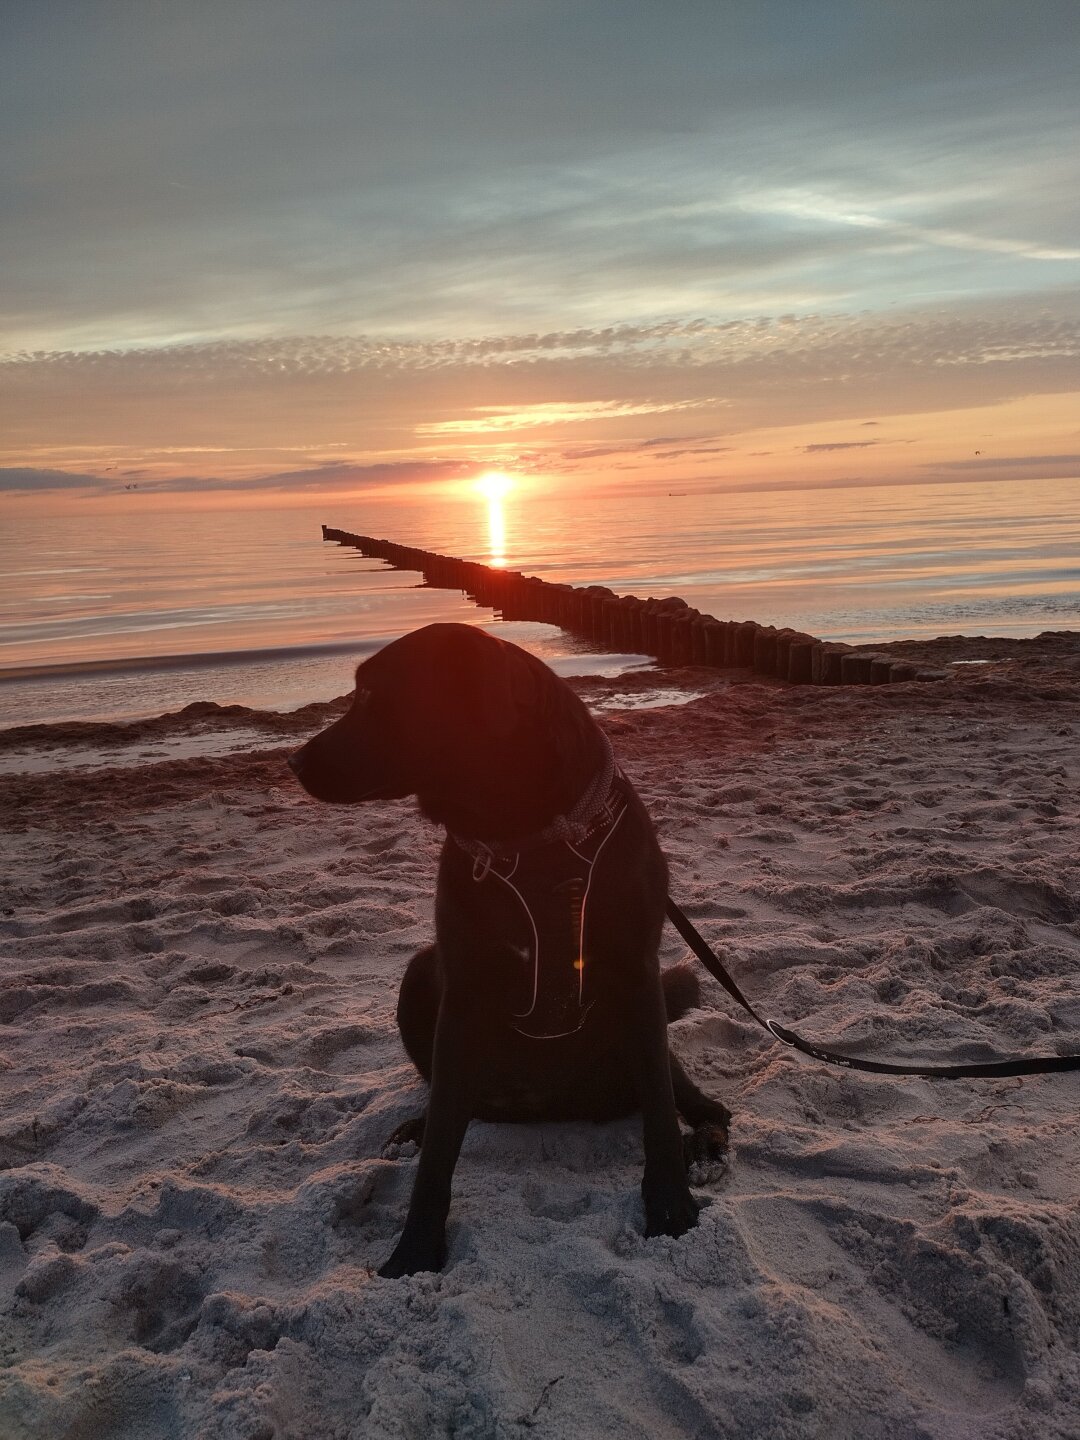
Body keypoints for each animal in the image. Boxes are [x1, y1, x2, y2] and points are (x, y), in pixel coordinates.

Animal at [288, 624, 731, 1278]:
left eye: (370, 694)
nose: (292, 761)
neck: (523, 831)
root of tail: (549, 1106)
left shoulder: (637, 971)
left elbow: (658, 1116)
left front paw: (672, 1211)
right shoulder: (464, 990)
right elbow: (439, 1151)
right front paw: (413, 1254)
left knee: (699, 1103)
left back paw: (704, 1144)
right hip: (420, 976)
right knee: (449, 1103)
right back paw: (416, 1126)